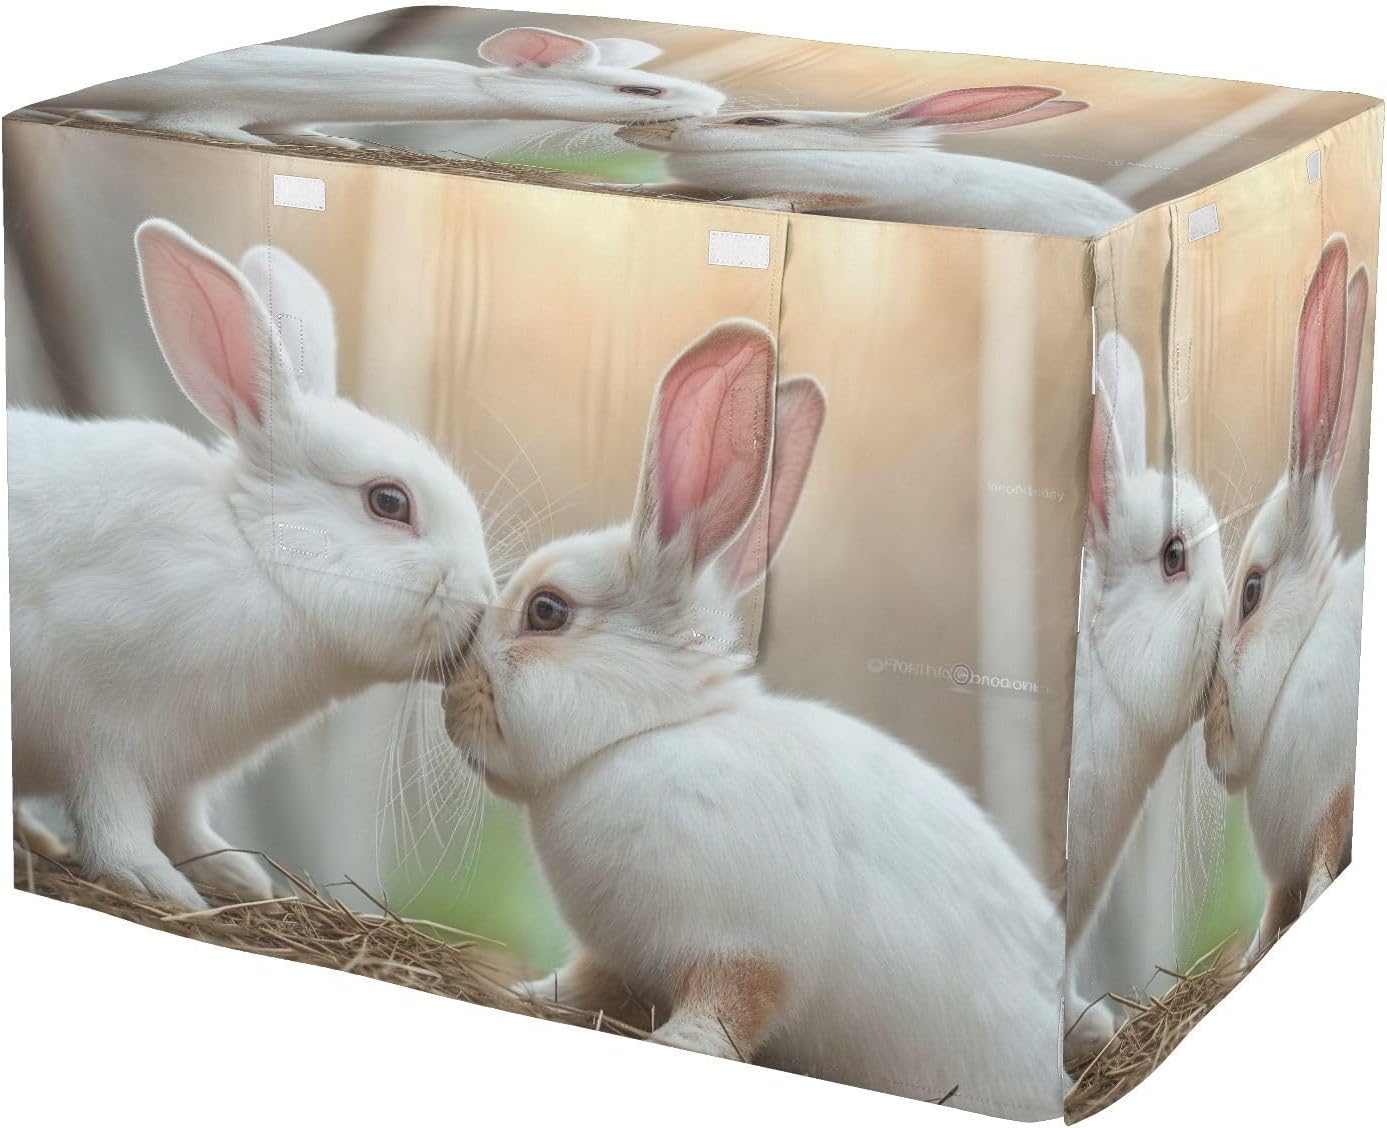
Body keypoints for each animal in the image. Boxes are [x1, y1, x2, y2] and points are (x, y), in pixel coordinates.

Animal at [8, 219, 494, 908]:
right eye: (389, 502)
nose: (482, 600)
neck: (258, 565)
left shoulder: (183, 771)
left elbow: (185, 822)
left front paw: (238, 876)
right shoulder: (101, 740)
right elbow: (115, 819)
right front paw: (158, 885)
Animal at [443, 319, 1077, 1118]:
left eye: (547, 612)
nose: (448, 699)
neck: (648, 736)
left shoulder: (743, 948)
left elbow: (729, 1010)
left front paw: (677, 1045)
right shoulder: (614, 957)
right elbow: (580, 984)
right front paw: (522, 991)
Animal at [615, 85, 1132, 238]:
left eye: (759, 123)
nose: (629, 132)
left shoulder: (836, 193)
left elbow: (778, 204)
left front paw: (739, 207)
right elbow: (660, 190)